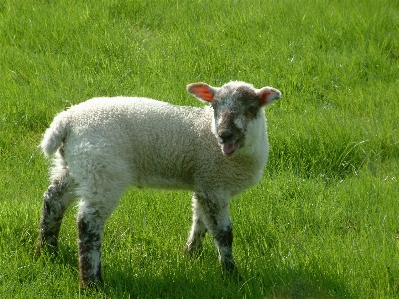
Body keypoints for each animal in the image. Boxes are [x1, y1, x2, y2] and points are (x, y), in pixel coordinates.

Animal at [36, 81, 282, 290]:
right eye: (214, 106)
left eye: (251, 107)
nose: (225, 135)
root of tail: (66, 120)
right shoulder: (215, 184)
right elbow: (223, 233)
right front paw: (232, 274)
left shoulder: (204, 182)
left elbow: (200, 221)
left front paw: (191, 254)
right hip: (101, 169)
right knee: (88, 223)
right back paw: (92, 283)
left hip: (76, 167)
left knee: (53, 199)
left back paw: (46, 252)